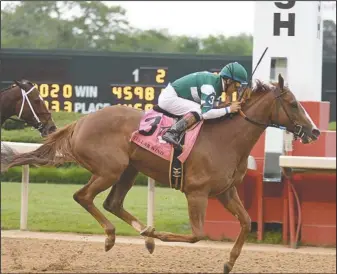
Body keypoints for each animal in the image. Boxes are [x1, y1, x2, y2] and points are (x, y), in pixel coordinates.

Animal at [5, 74, 320, 272]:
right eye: (293, 104)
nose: (315, 131)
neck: (226, 139)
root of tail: (80, 122)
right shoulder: (197, 193)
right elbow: (197, 235)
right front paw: (161, 234)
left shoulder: (225, 191)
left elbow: (246, 222)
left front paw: (229, 262)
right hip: (110, 169)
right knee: (83, 197)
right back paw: (114, 236)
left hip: (129, 169)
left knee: (112, 203)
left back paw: (144, 234)